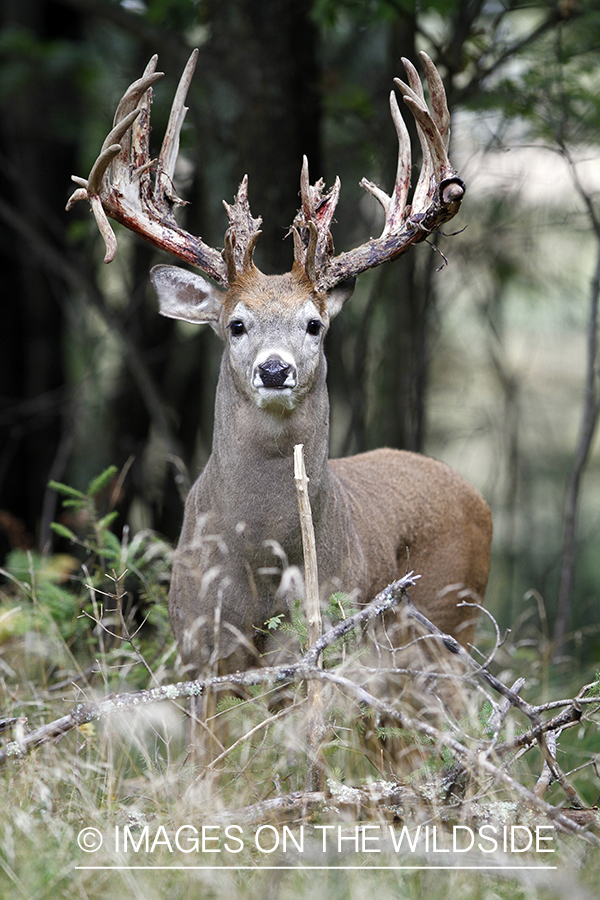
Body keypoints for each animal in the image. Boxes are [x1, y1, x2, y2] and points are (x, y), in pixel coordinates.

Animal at [68, 47, 494, 752]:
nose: (274, 369)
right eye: (236, 323)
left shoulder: (309, 646)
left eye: (314, 324)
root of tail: (473, 494)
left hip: (447, 623)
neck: (261, 556)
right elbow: (210, 763)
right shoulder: (199, 645)